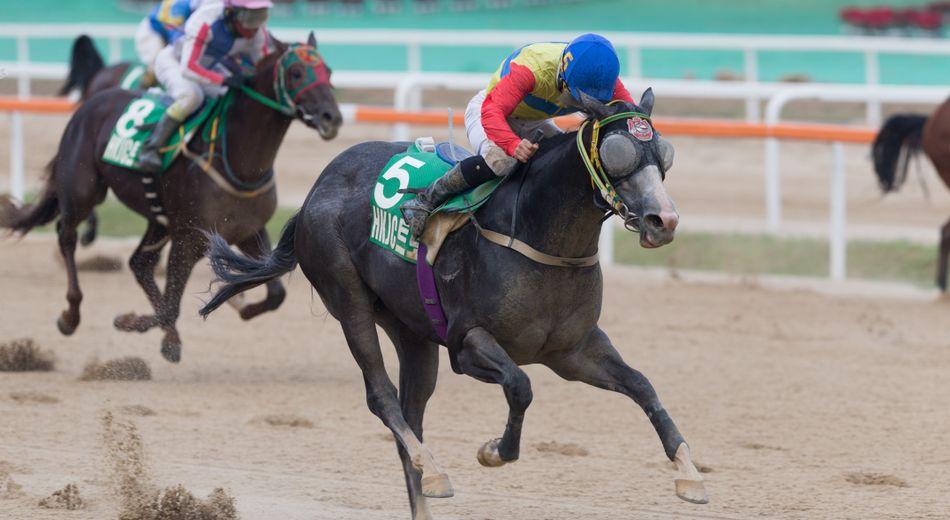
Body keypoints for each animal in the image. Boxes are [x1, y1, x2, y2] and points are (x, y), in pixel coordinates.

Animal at [0, 34, 342, 362]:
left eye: (328, 71)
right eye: (296, 73)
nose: (332, 117)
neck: (237, 163)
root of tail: (91, 101)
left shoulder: (249, 230)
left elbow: (275, 294)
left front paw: (239, 302)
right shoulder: (189, 238)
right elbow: (171, 307)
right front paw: (131, 322)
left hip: (159, 219)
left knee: (140, 262)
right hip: (82, 191)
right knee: (67, 236)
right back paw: (71, 314)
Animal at [201, 91, 708, 516]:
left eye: (663, 153)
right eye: (618, 152)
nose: (663, 221)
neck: (538, 235)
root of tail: (313, 193)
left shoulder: (573, 351)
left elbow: (643, 386)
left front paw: (690, 476)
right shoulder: (467, 344)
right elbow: (521, 385)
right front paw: (494, 451)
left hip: (411, 332)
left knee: (411, 416)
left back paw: (425, 481)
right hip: (349, 300)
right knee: (382, 397)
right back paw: (435, 469)